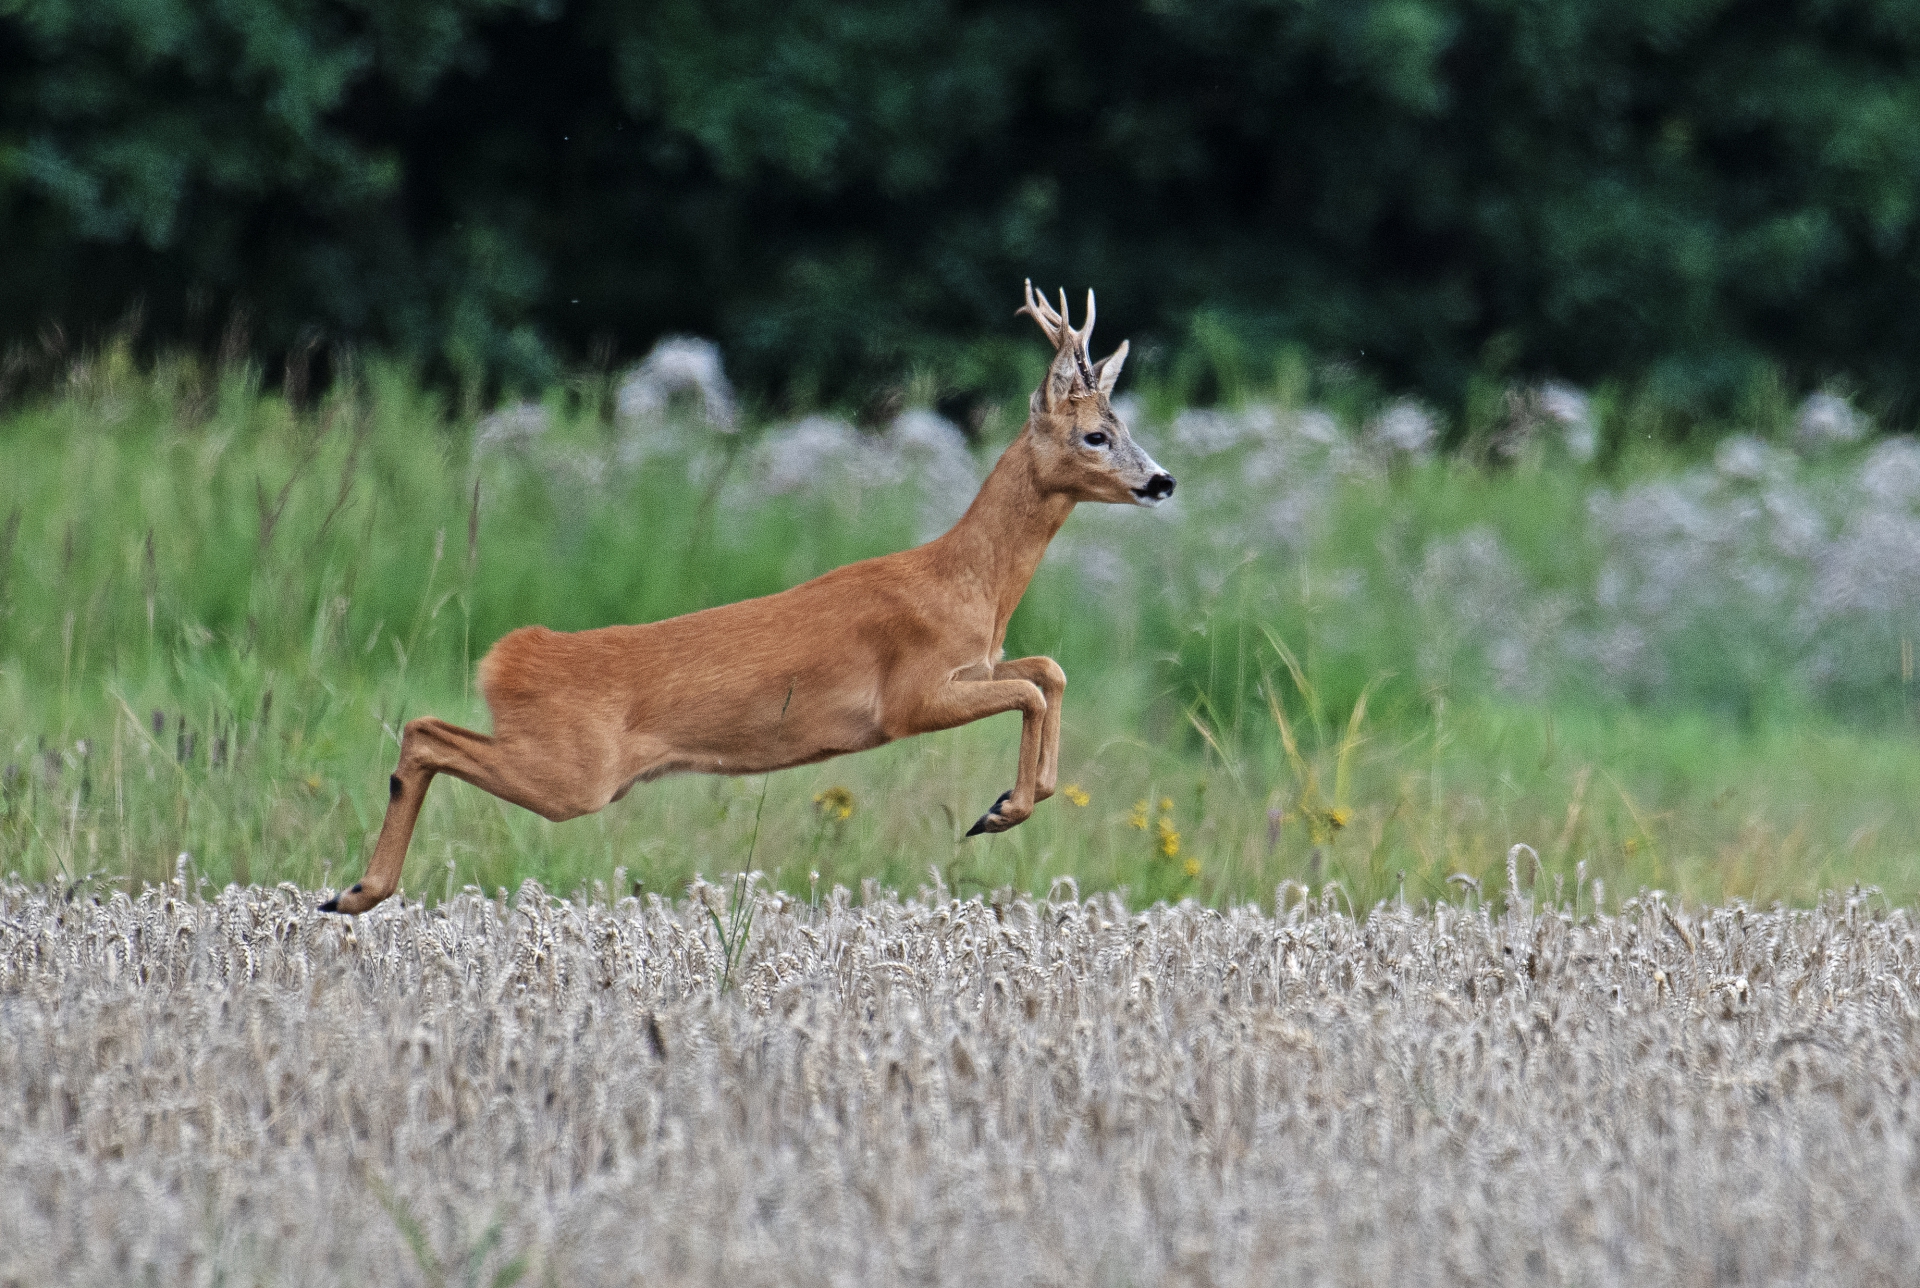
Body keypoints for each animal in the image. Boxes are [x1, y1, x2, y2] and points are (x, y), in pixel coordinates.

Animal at [318, 282, 1167, 917]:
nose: (1162, 481)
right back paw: (354, 893)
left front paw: (1011, 801)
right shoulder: (907, 699)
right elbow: (1033, 686)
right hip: (575, 773)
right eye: (1094, 435)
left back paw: (351, 893)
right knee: (426, 730)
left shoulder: (974, 664)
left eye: (1124, 426)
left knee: (426, 730)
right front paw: (1002, 811)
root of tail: (510, 655)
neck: (971, 585)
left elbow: (1048, 671)